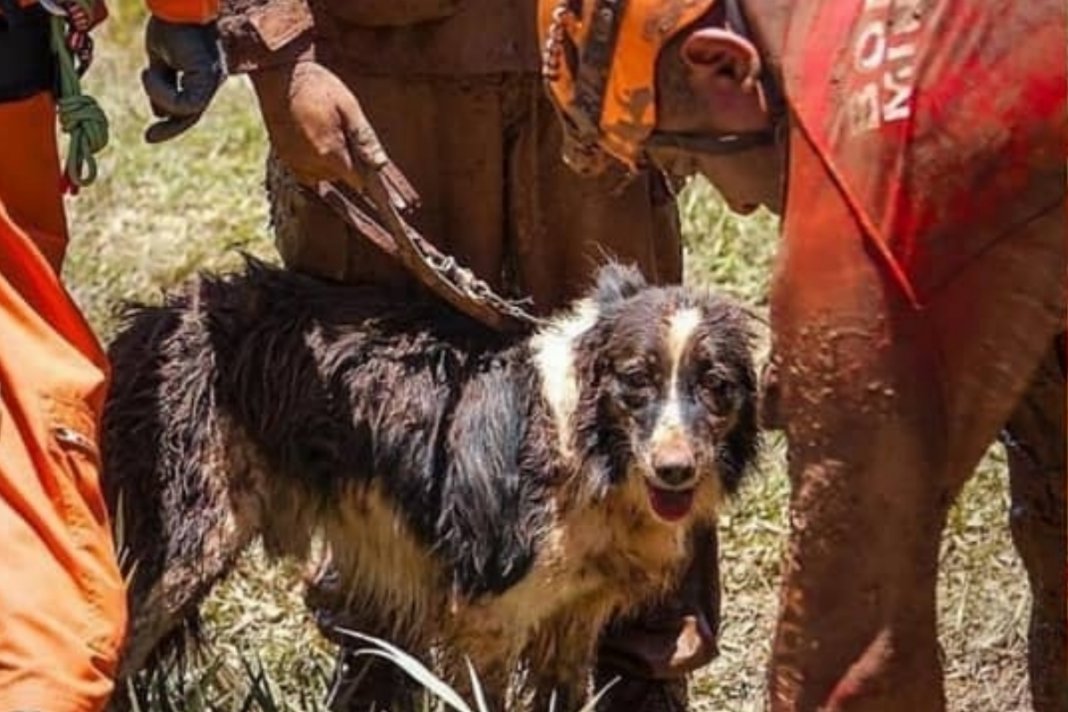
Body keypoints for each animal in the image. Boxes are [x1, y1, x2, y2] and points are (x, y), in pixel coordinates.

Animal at [101, 259, 760, 708]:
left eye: (716, 386)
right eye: (635, 380)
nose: (675, 471)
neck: (589, 447)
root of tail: (157, 315)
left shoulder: (574, 614)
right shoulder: (489, 612)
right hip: (190, 540)